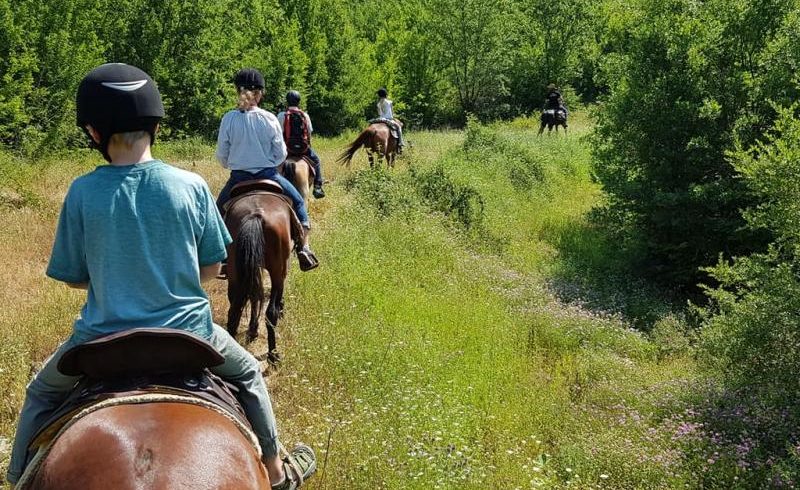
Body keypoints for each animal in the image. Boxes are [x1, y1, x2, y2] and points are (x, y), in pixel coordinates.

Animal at [223, 192, 296, 364]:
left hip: (235, 274)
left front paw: (252, 330)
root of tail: (255, 215)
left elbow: (254, 296)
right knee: (270, 313)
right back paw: (273, 355)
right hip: (277, 273)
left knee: (234, 312)